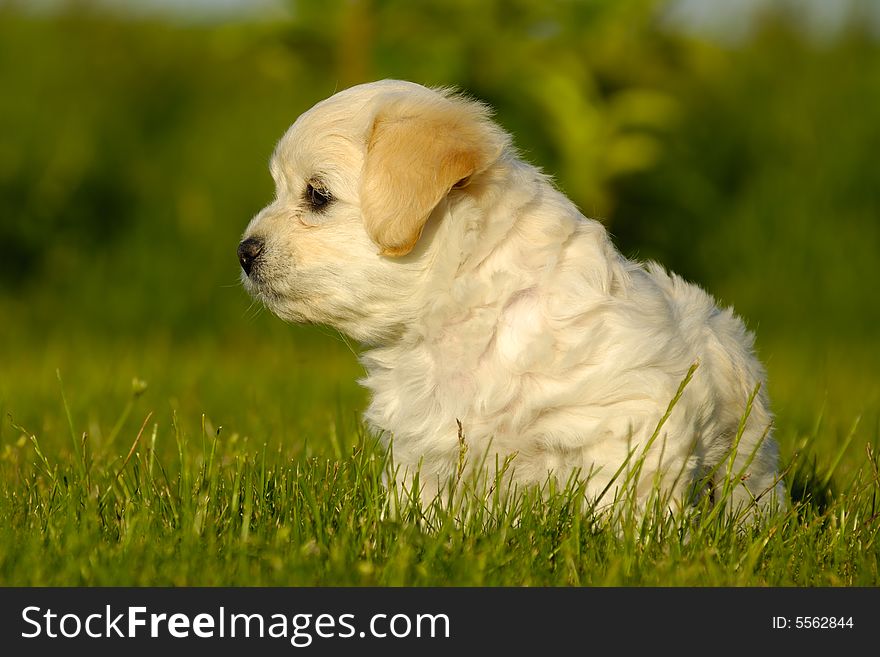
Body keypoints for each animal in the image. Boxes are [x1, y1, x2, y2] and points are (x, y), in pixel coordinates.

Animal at [237, 79, 788, 516]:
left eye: (317, 195)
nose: (244, 252)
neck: (462, 313)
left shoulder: (628, 422)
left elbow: (620, 505)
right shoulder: (425, 447)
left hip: (747, 461)